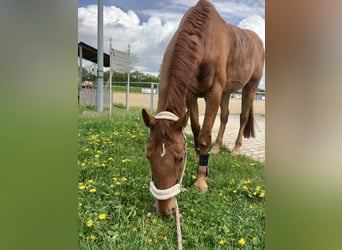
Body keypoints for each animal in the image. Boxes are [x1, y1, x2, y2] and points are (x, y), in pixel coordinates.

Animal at [142, 0, 264, 215]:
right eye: (149, 156)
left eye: (180, 158)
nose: (165, 209)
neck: (205, 41)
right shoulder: (191, 95)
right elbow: (196, 129)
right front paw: (201, 159)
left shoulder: (213, 93)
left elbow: (205, 134)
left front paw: (200, 180)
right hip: (226, 92)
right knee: (225, 116)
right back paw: (216, 148)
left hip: (250, 86)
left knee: (241, 117)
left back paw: (236, 149)